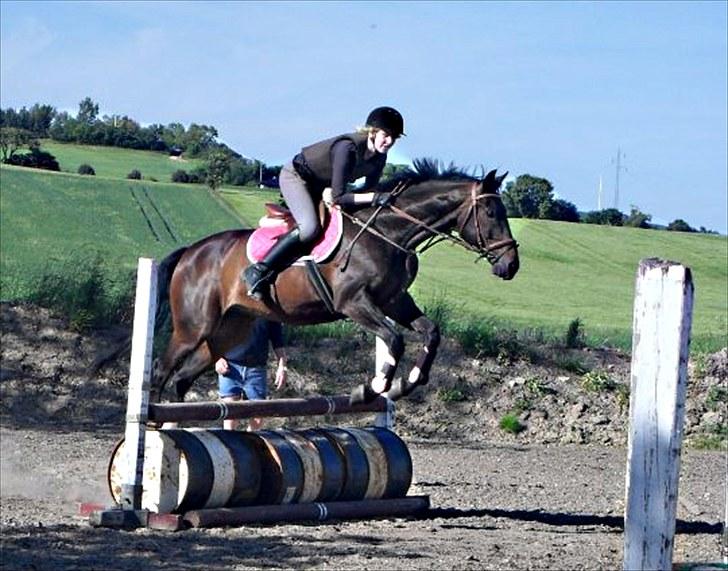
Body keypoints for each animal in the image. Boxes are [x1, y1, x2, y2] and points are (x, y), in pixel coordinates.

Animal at [152, 156, 516, 406]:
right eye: (491, 214)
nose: (511, 265)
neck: (388, 233)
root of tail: (191, 253)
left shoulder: (395, 301)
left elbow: (431, 332)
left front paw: (408, 382)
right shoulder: (353, 303)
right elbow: (394, 339)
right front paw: (370, 389)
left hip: (227, 330)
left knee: (182, 378)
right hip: (193, 327)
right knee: (160, 370)